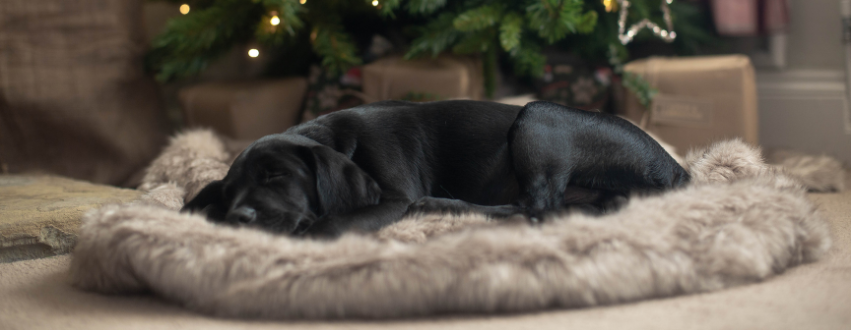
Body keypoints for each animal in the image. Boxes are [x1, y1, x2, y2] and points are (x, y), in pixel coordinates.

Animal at [183, 99, 688, 236]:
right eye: (230, 192)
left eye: (277, 175)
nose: (239, 216)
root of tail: (676, 170)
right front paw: (199, 207)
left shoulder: (391, 199)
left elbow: (330, 225)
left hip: (537, 115)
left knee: (535, 207)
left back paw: (442, 205)